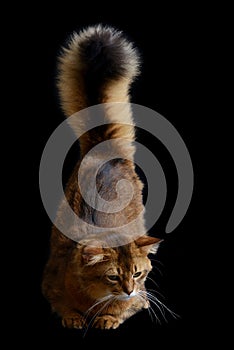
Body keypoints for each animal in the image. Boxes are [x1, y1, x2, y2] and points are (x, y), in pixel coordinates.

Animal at [41, 25, 163, 330]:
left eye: (137, 274)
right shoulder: (50, 285)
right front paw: (74, 317)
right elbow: (62, 306)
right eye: (113, 276)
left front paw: (109, 317)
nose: (128, 289)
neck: (95, 298)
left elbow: (129, 307)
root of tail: (103, 146)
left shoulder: (140, 295)